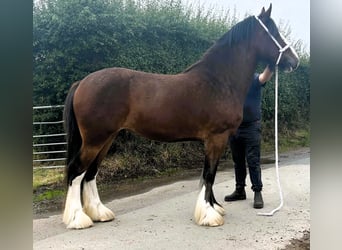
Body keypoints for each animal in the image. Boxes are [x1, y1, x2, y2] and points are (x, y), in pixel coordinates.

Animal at [62, 4, 298, 229]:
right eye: (273, 32)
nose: (294, 61)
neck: (219, 81)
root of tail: (82, 83)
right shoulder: (217, 138)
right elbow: (209, 175)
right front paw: (209, 216)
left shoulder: (213, 141)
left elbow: (207, 174)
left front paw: (213, 207)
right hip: (95, 139)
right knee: (76, 171)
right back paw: (77, 219)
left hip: (106, 139)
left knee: (90, 173)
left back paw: (99, 213)